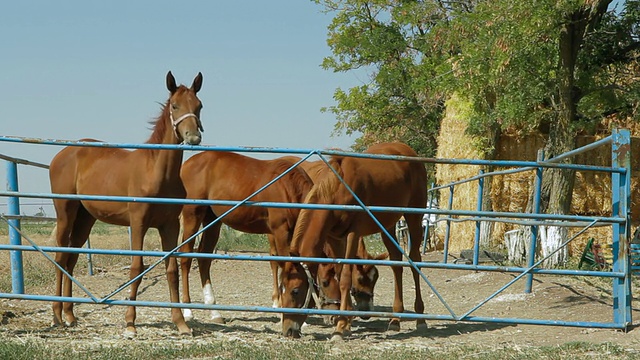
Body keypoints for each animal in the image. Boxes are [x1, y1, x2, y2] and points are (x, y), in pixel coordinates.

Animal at [48, 71, 204, 338]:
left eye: (199, 106)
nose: (193, 137)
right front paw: (130, 323)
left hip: (85, 219)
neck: (157, 172)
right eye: (175, 105)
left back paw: (70, 314)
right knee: (61, 256)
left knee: (71, 258)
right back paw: (58, 315)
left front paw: (181, 323)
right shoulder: (139, 223)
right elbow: (136, 268)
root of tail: (61, 155)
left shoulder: (170, 226)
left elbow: (171, 270)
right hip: (65, 213)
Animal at [278, 142, 424, 338]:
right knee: (396, 263)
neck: (338, 187)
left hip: (414, 217)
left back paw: (421, 319)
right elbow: (340, 274)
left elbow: (346, 277)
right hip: (388, 225)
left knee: (415, 261)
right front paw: (345, 322)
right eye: (282, 288)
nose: (288, 330)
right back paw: (395, 320)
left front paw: (340, 326)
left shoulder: (353, 234)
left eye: (295, 291)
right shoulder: (334, 237)